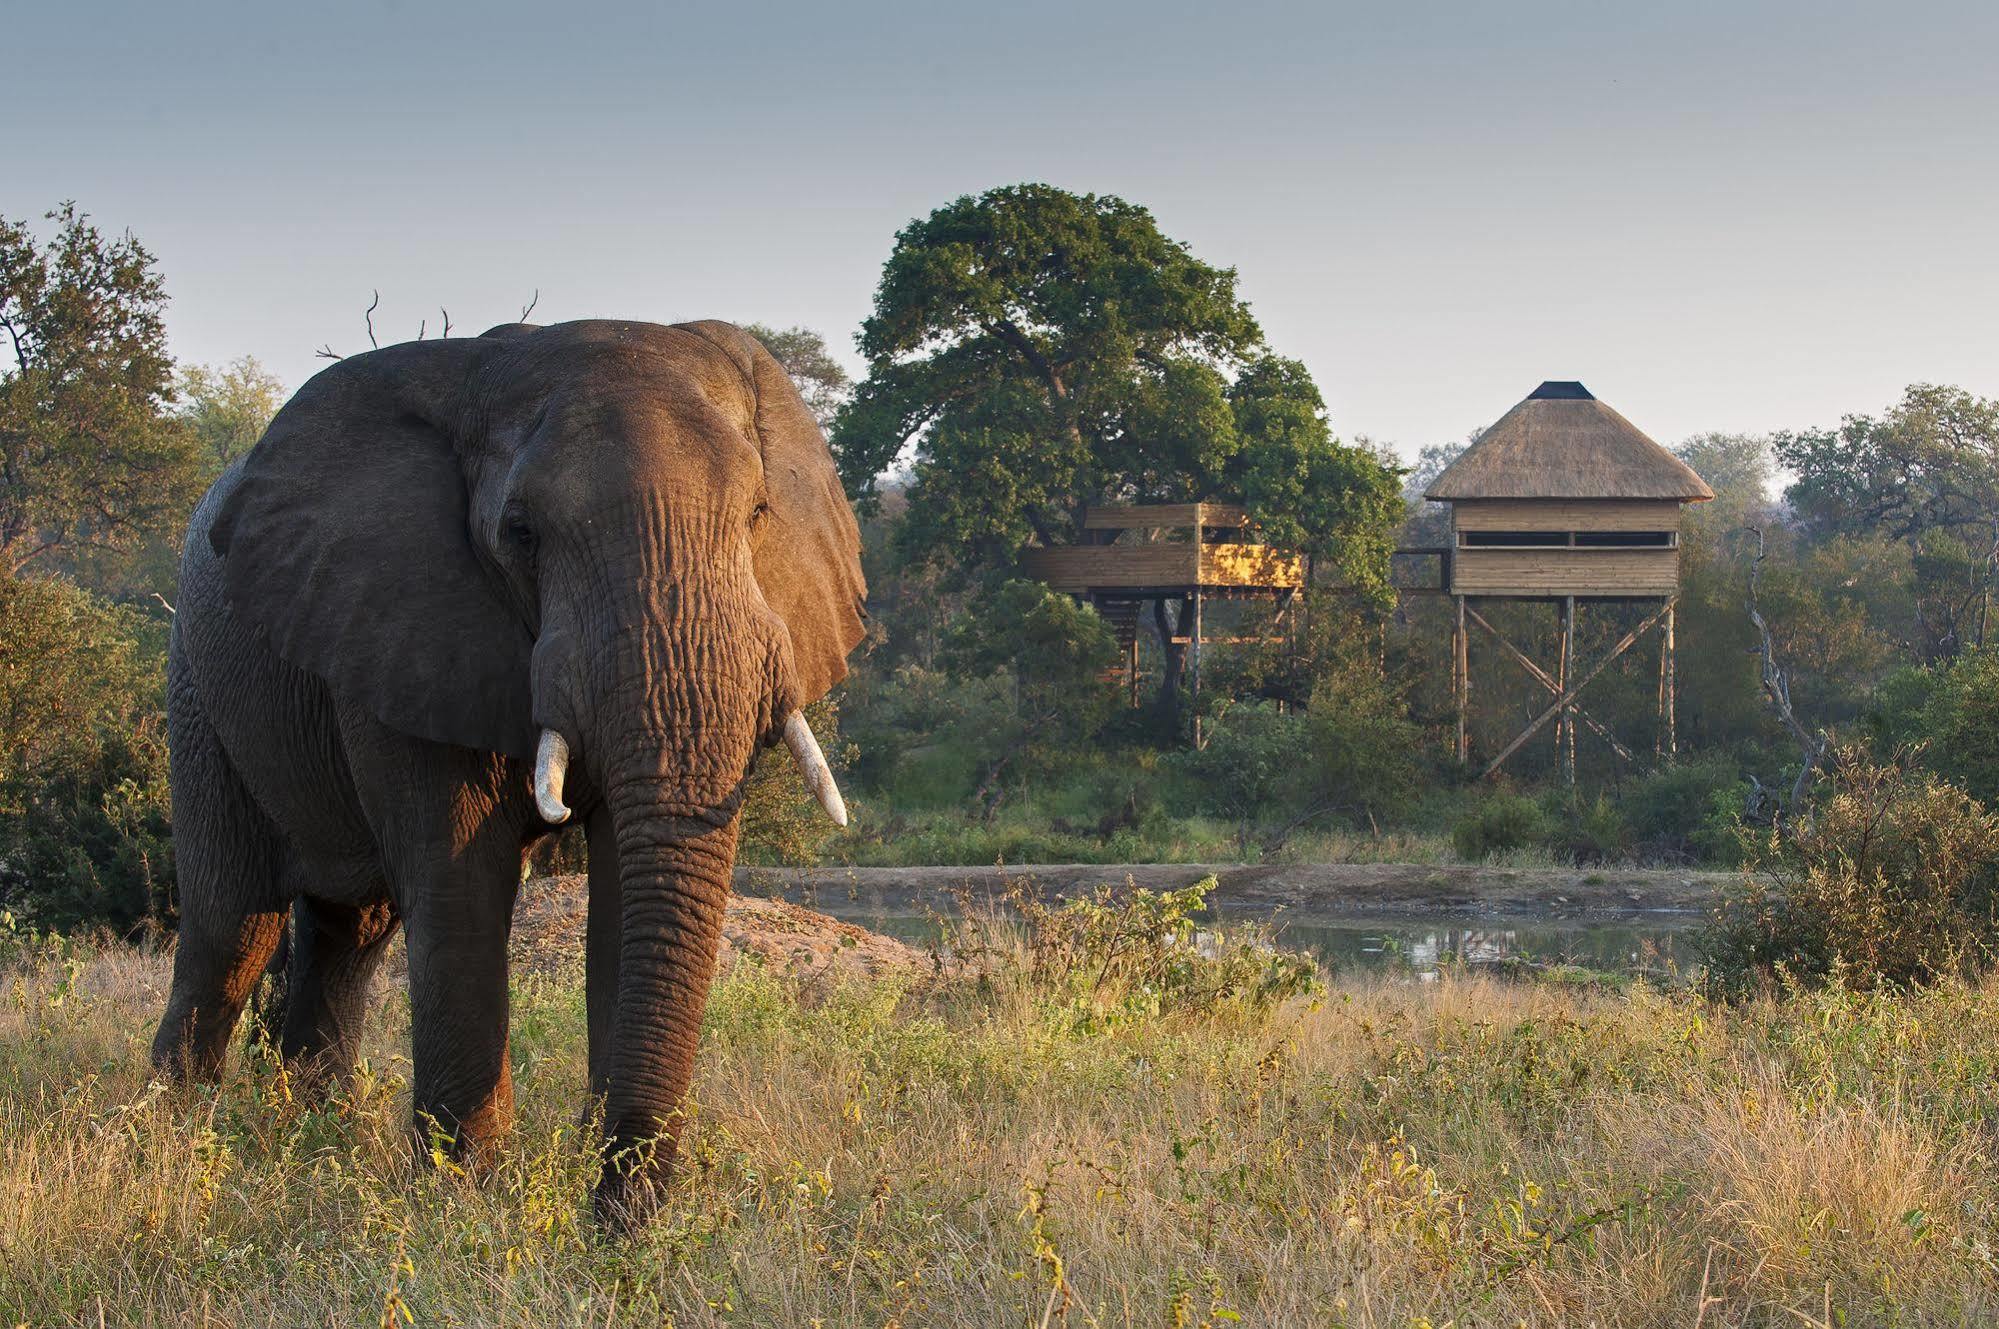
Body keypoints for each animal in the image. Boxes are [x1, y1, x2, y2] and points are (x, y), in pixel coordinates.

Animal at [151, 315, 871, 1215]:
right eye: (520, 533)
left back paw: (313, 1138)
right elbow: (461, 880)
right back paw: (176, 1140)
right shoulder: (403, 620)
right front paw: (464, 1197)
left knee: (348, 933)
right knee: (231, 928)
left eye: (759, 513)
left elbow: (622, 883)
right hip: (197, 685)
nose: (620, 1216)